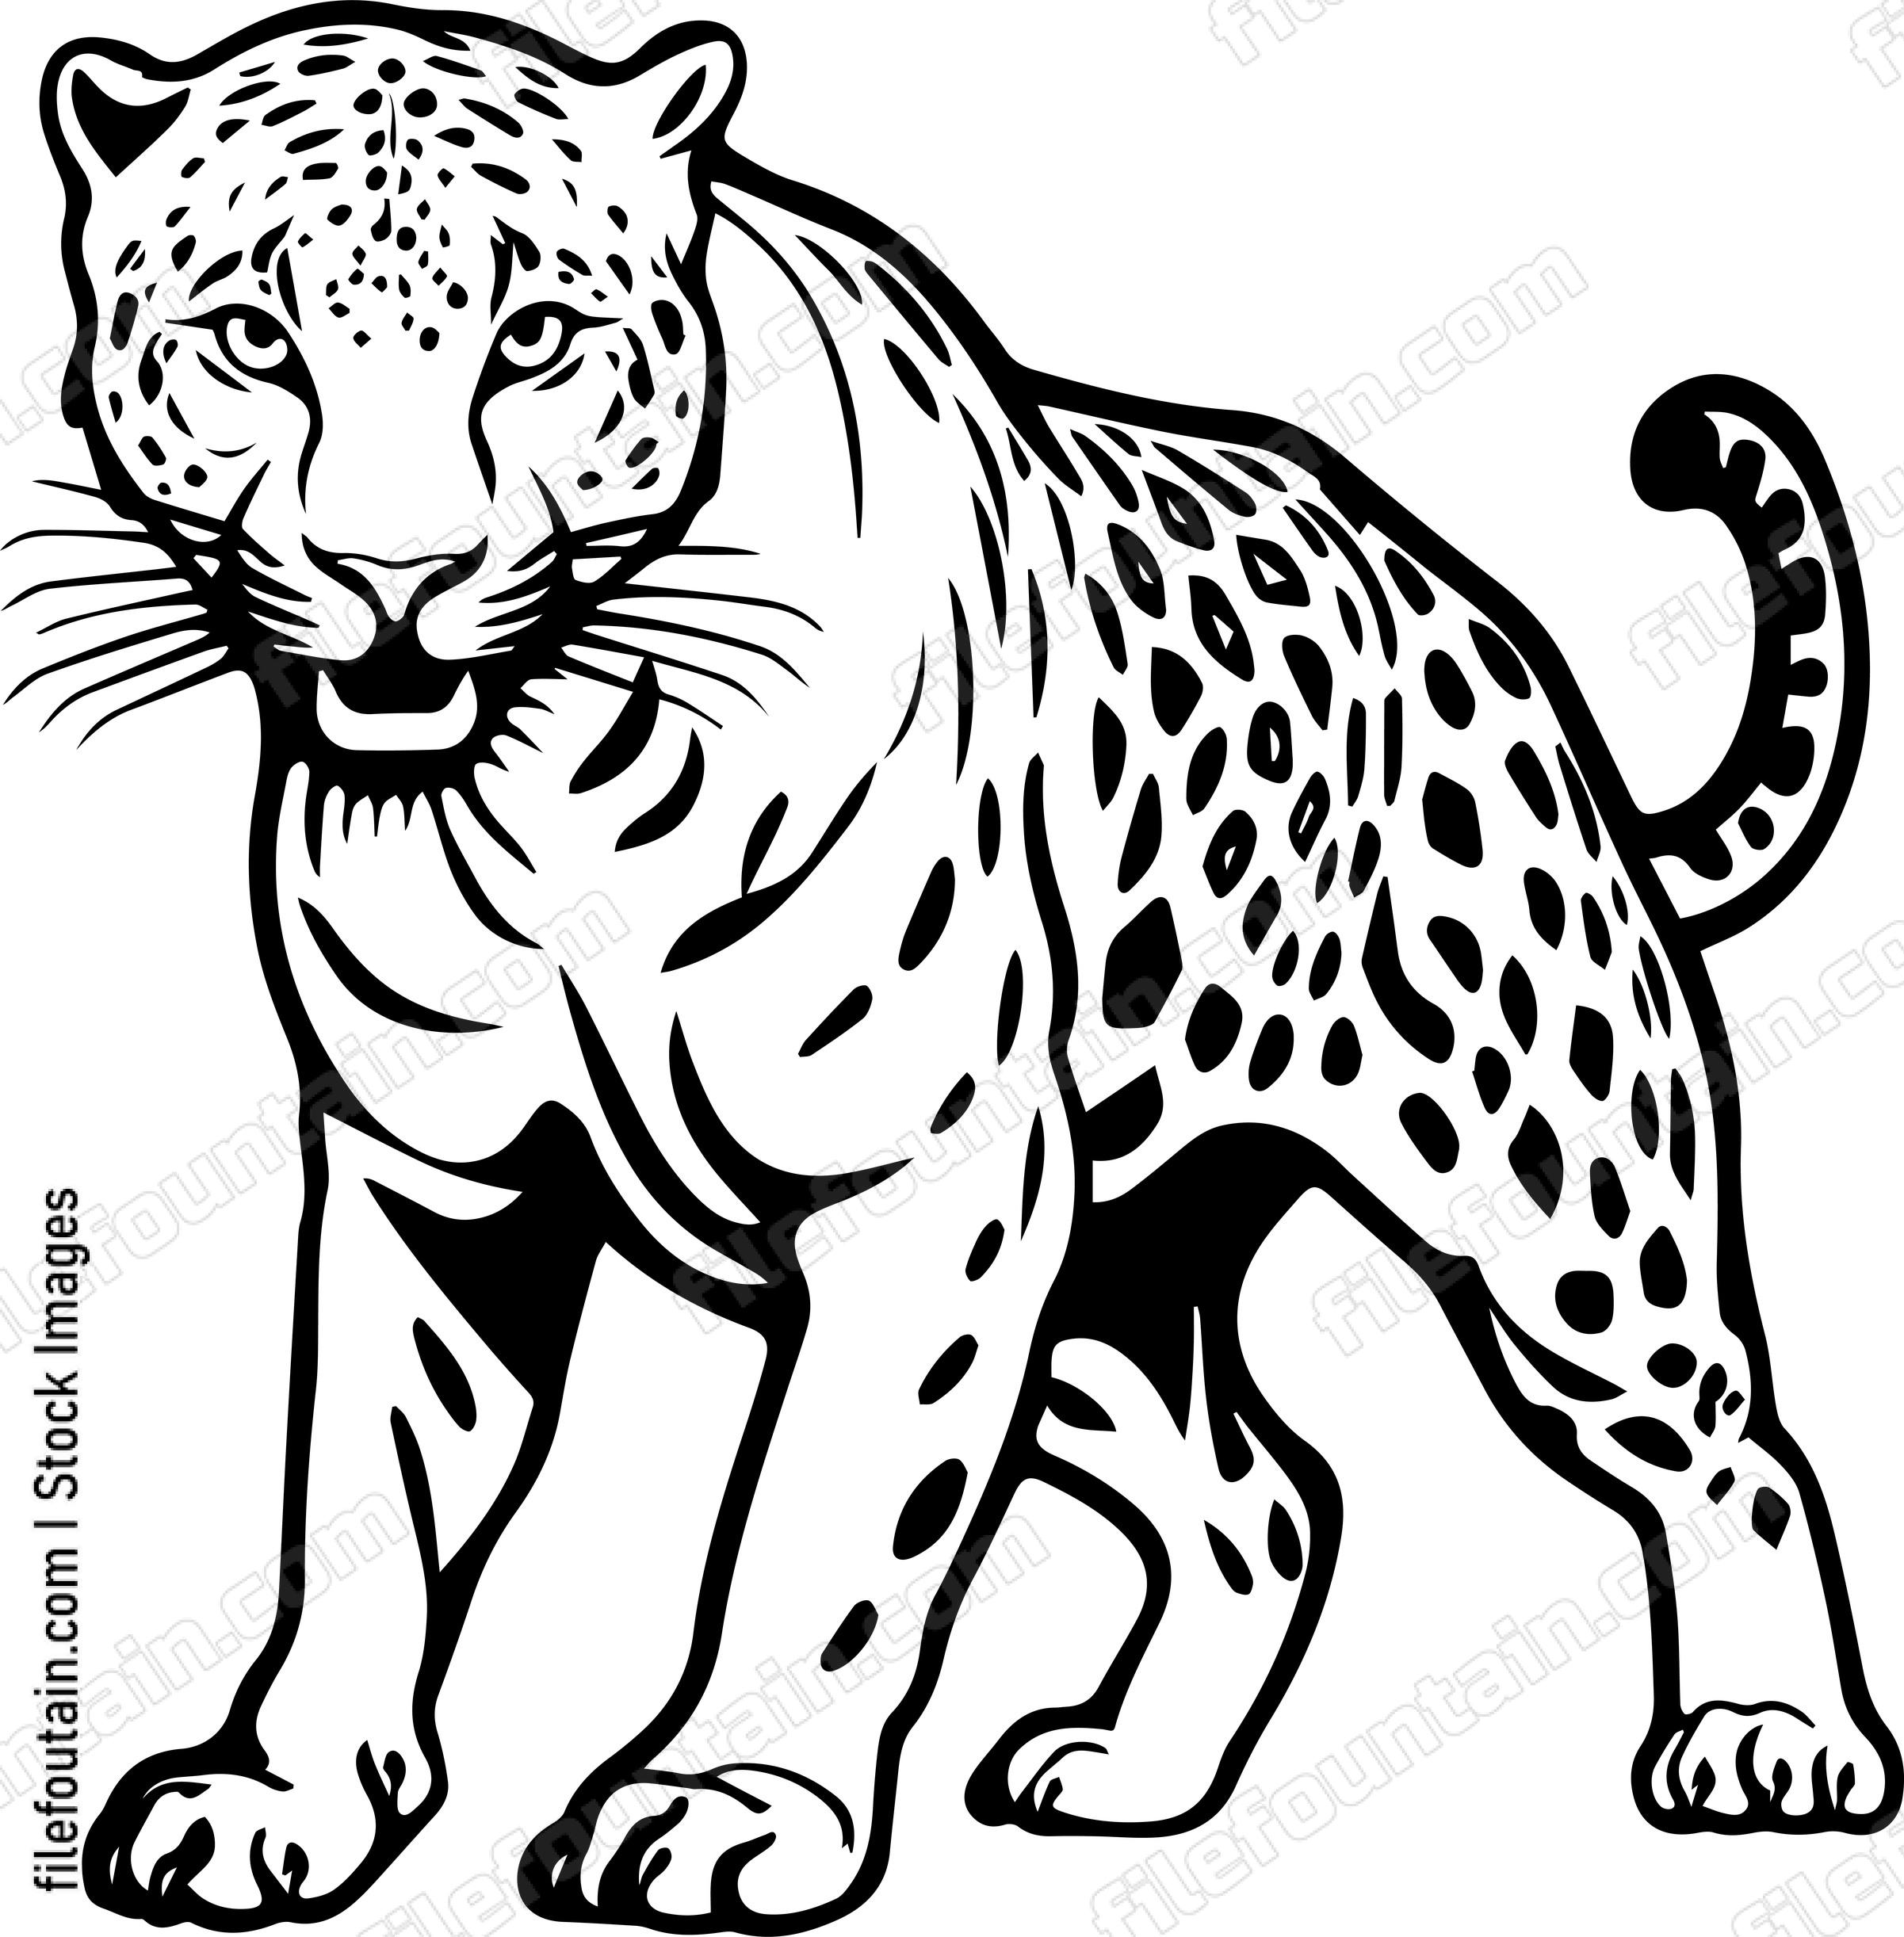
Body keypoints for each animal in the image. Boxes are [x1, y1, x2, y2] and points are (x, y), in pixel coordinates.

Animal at [20, 4, 1898, 1929]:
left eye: (532, 336)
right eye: (252, 339)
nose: (396, 574)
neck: (533, 796)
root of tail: (1500, 647)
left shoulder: (921, 1184)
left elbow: (828, 1518)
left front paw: (718, 1805)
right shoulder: (434, 1179)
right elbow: (366, 1502)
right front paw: (281, 1794)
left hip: (1551, 1201)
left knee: (1736, 1453)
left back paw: (1769, 1742)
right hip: (1100, 1285)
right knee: (1263, 1496)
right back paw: (1135, 1769)